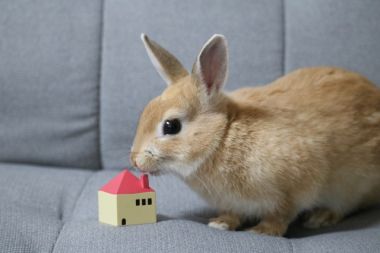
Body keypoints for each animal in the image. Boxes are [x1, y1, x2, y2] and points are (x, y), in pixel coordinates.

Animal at [131, 33, 380, 235]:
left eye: (171, 126)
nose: (134, 160)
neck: (223, 136)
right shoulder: (232, 202)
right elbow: (232, 213)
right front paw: (221, 223)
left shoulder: (295, 189)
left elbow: (281, 214)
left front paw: (262, 231)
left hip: (353, 185)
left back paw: (320, 217)